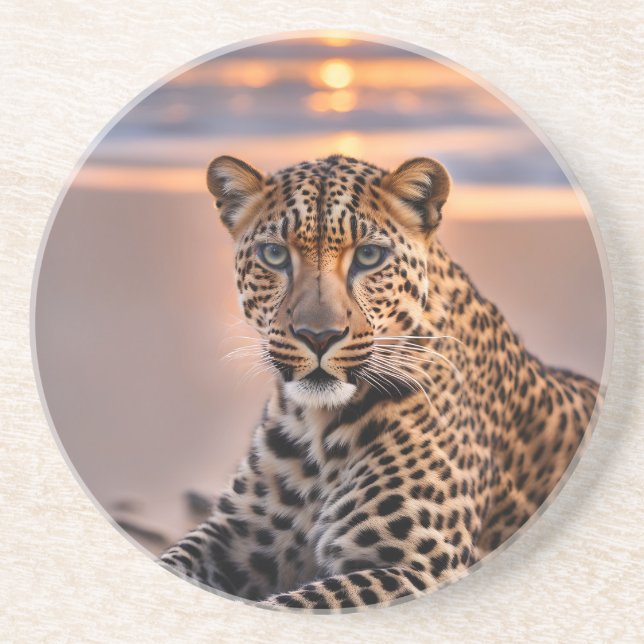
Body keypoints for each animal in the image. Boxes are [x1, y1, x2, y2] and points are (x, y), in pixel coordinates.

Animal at [158, 153, 600, 610]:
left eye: (369, 256)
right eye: (275, 254)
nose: (319, 336)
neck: (317, 430)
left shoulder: (421, 565)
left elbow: (296, 602)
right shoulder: (232, 535)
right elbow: (175, 558)